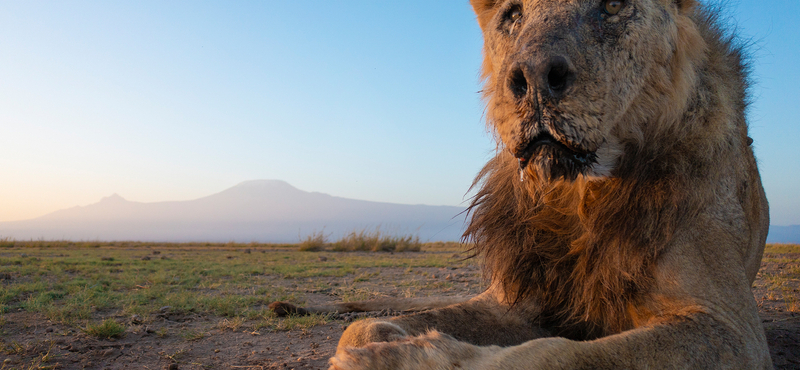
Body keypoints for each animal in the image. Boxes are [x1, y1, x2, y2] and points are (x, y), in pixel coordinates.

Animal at [272, 0, 772, 368]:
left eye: (613, 5)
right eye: (513, 14)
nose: (532, 79)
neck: (576, 195)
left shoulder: (730, 327)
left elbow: (556, 354)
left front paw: (406, 359)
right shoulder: (514, 301)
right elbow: (363, 328)